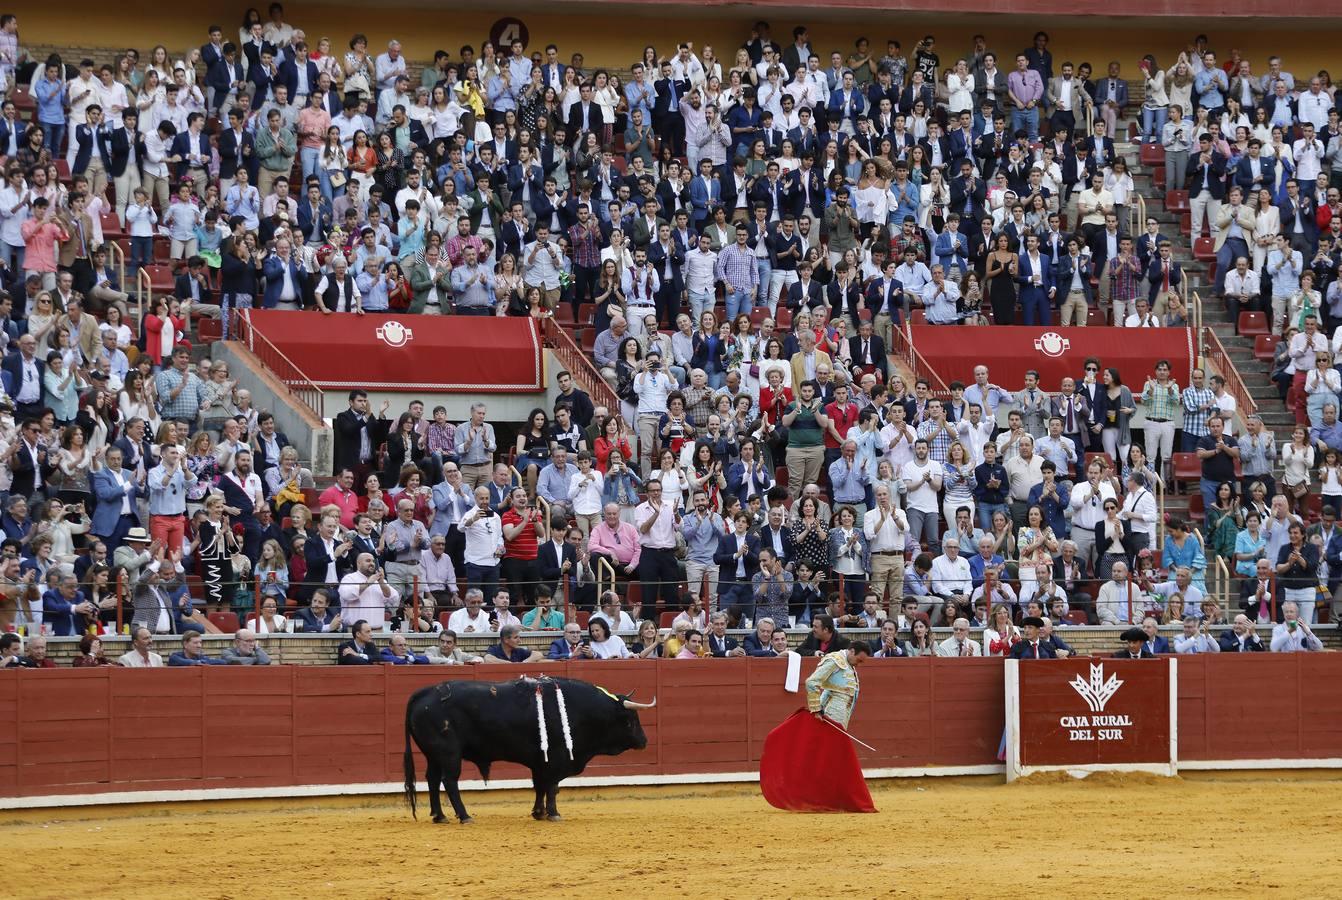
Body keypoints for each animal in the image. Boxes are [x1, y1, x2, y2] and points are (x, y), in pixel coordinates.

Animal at [399, 676, 652, 826]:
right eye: (630, 720)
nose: (644, 741)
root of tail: (426, 692)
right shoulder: (556, 759)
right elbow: (552, 787)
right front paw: (553, 813)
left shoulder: (540, 761)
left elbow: (539, 786)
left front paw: (538, 813)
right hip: (449, 753)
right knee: (449, 780)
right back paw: (464, 816)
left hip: (433, 754)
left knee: (432, 779)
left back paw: (439, 816)